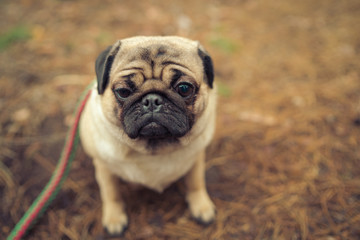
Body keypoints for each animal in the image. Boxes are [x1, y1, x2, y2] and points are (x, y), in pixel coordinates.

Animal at [79, 35, 217, 234]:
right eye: (123, 91)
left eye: (184, 88)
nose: (152, 100)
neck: (153, 148)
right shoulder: (104, 167)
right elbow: (111, 193)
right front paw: (114, 218)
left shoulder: (196, 159)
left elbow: (196, 183)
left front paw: (201, 206)